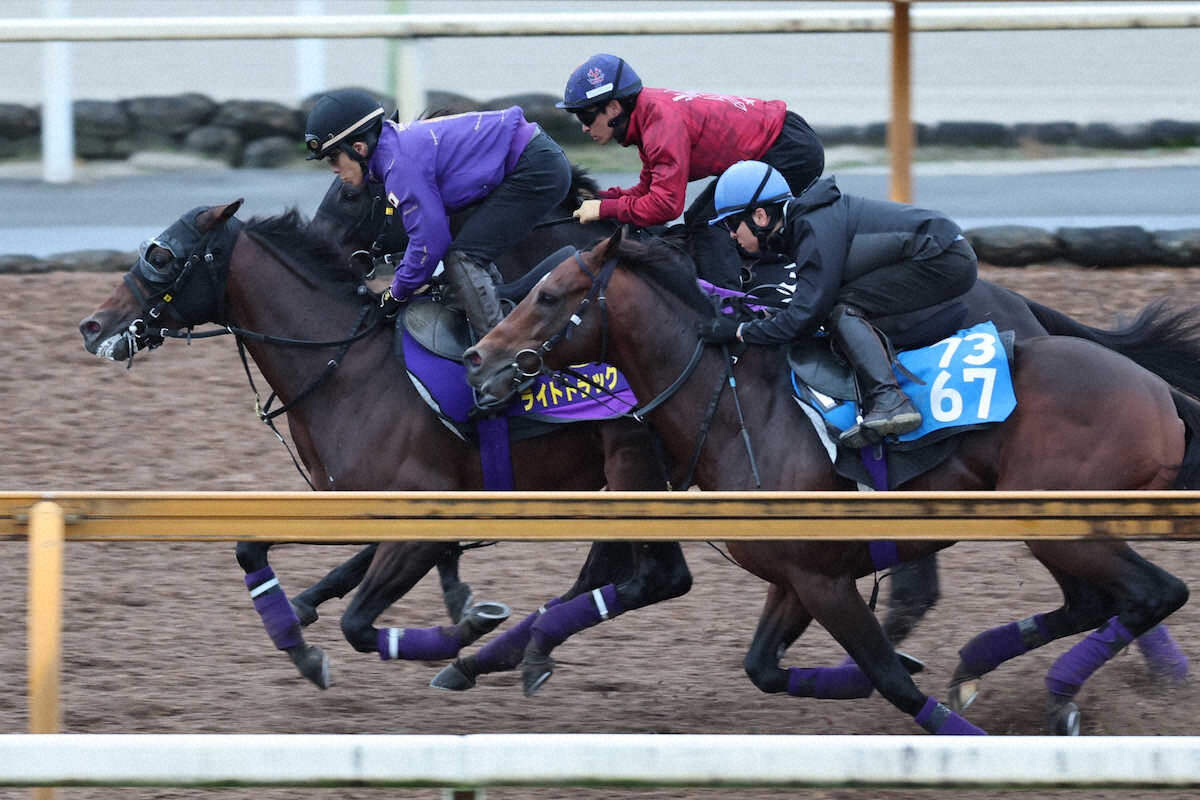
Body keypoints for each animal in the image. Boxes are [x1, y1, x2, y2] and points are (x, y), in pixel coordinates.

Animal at [77, 202, 690, 691]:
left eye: (162, 257)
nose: (92, 325)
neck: (348, 369)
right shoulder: (345, 499)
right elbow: (253, 551)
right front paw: (300, 641)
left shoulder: (423, 515)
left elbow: (357, 622)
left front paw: (465, 625)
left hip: (634, 467)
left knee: (659, 578)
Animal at [464, 230, 1200, 735]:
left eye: (548, 296)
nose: (477, 357)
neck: (741, 408)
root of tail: (1158, 392)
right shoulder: (796, 577)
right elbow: (767, 668)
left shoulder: (824, 579)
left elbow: (889, 680)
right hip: (1052, 529)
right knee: (1095, 602)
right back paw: (982, 666)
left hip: (1065, 527)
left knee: (1152, 594)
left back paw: (1053, 691)